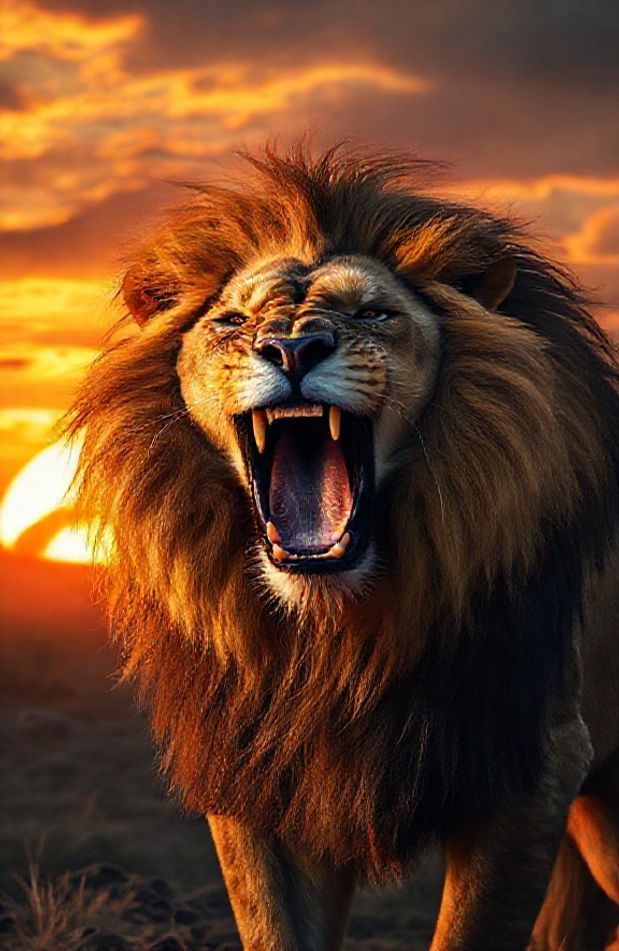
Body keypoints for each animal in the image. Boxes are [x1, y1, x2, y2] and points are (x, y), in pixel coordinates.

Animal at [69, 143, 619, 950]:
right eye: (232, 319)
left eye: (372, 313)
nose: (292, 346)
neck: (333, 639)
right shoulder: (259, 778)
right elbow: (273, 928)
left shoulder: (531, 767)